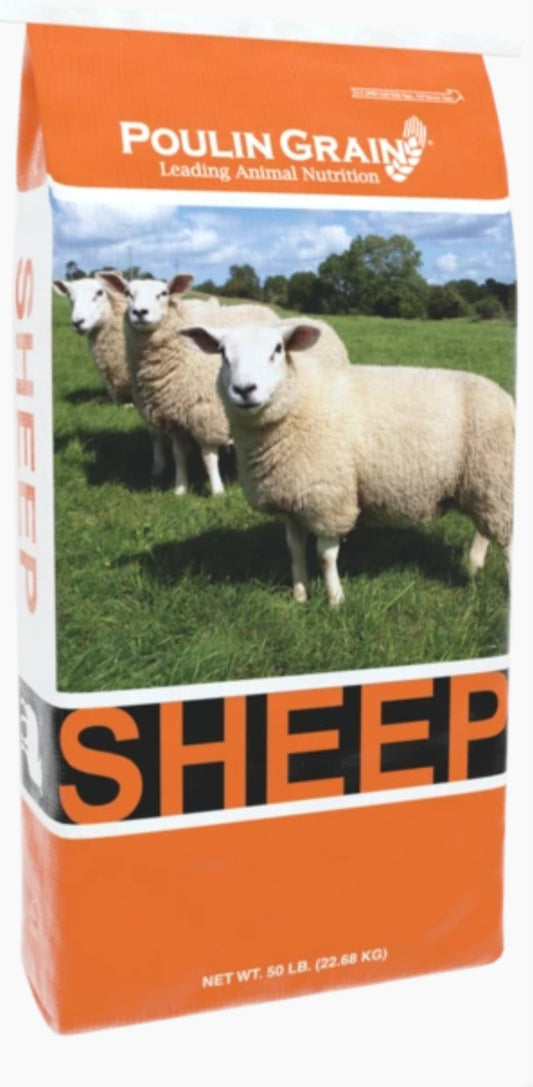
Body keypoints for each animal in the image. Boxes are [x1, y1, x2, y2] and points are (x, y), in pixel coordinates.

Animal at [181, 322, 514, 606]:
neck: (300, 402)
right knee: (484, 528)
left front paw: (335, 600)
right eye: (223, 353)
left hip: (496, 476)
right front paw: (299, 594)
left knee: (507, 540)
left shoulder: (328, 498)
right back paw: (474, 565)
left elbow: (325, 555)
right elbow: (294, 549)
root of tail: (505, 396)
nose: (245, 389)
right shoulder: (292, 498)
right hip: (483, 483)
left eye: (277, 349)